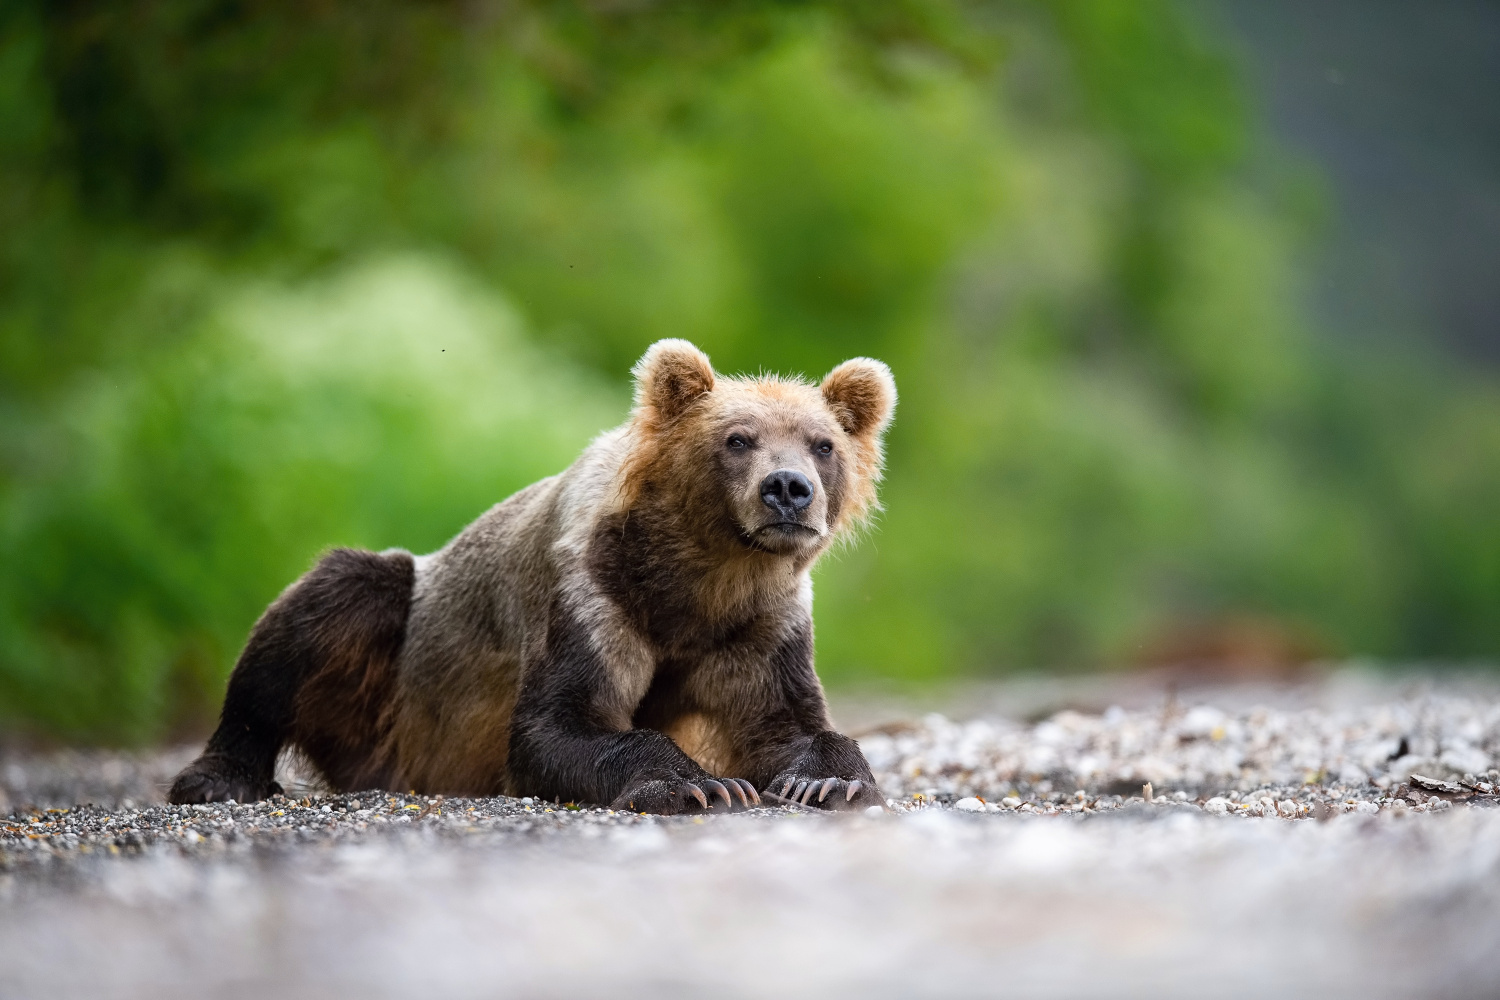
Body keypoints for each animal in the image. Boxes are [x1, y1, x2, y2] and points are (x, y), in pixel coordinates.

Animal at [167, 338, 888, 815]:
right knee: (325, 608)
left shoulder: (759, 624)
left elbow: (788, 725)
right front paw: (700, 783)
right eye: (737, 438)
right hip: (389, 702)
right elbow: (559, 725)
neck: (699, 579)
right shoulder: (593, 596)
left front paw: (828, 781)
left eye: (822, 444)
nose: (788, 489)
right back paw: (217, 777)